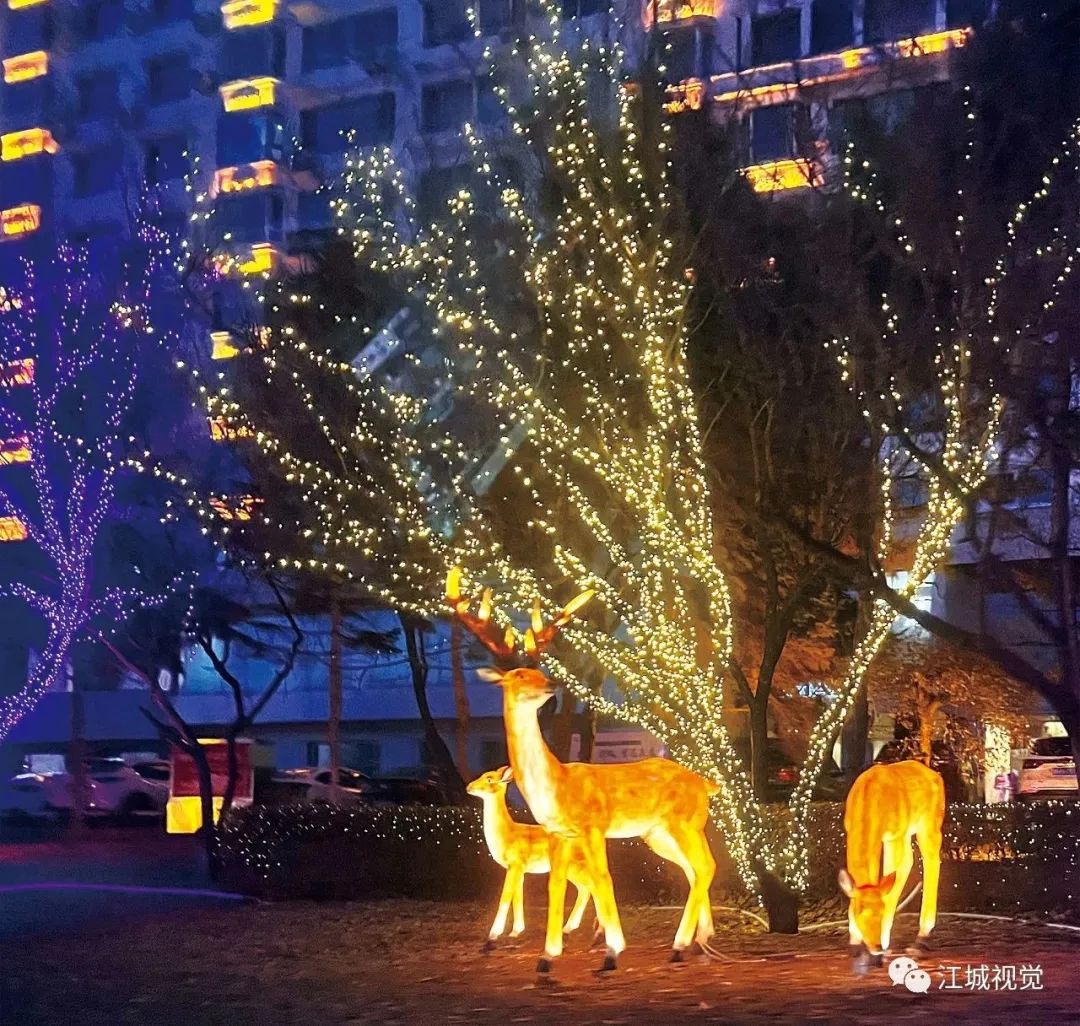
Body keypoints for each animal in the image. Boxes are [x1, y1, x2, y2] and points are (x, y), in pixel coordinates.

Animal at [466, 768, 596, 950]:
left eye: (490, 779)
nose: (469, 787)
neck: (508, 834)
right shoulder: (520, 870)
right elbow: (517, 897)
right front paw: (515, 932)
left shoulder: (515, 864)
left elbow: (505, 897)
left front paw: (493, 935)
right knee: (586, 888)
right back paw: (570, 928)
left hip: (573, 866)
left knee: (590, 885)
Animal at [833, 764, 946, 963]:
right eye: (859, 912)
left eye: (882, 912)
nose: (876, 946)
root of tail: (935, 774)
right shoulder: (850, 829)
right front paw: (854, 942)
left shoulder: (894, 834)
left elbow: (892, 881)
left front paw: (885, 943)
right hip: (911, 830)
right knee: (913, 860)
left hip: (930, 822)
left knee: (930, 860)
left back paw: (921, 940)